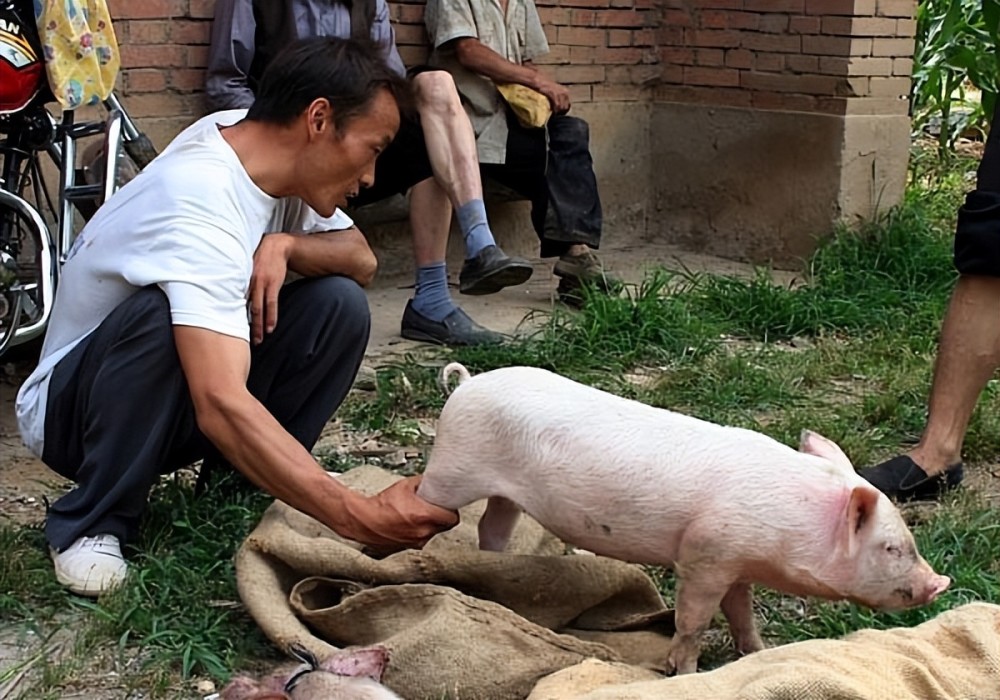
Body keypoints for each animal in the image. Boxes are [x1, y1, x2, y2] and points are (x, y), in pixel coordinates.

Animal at [418, 364, 948, 676]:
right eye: (892, 548)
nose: (939, 583)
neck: (787, 522)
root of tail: (466, 383)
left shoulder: (736, 563)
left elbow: (741, 612)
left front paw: (758, 651)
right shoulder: (704, 555)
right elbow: (692, 620)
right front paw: (687, 673)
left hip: (502, 494)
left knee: (492, 525)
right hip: (450, 471)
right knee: (431, 506)